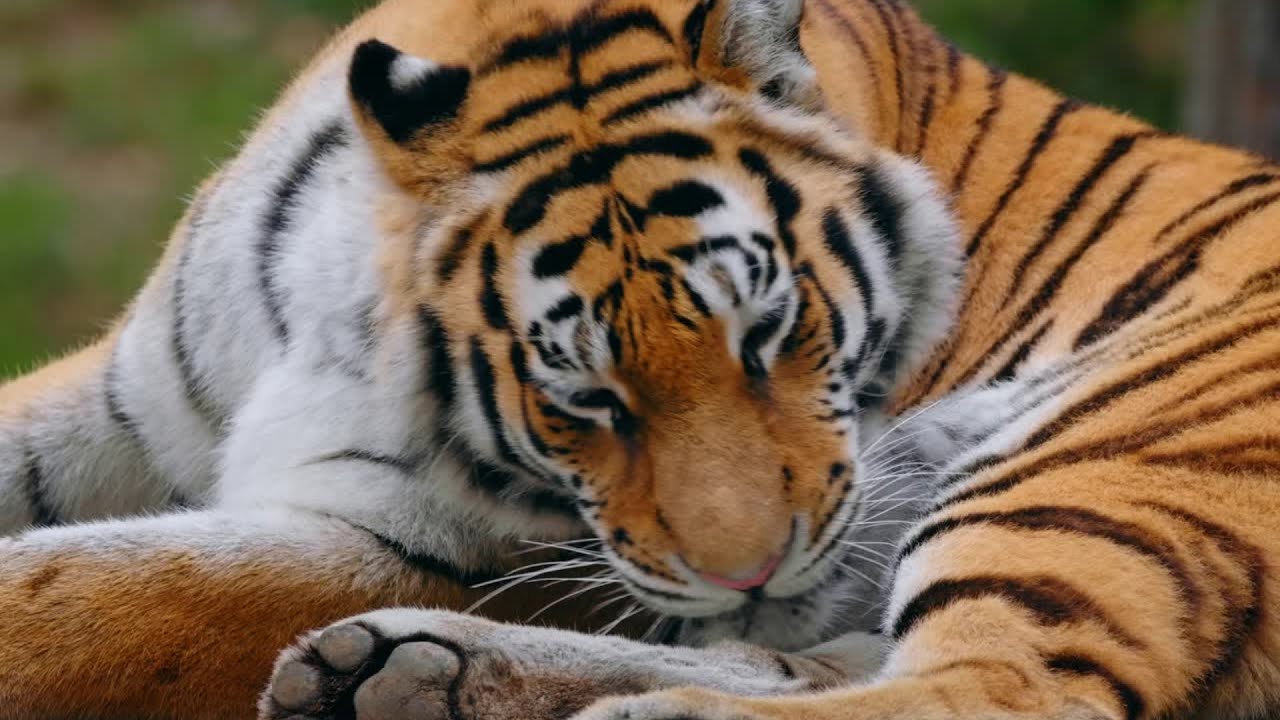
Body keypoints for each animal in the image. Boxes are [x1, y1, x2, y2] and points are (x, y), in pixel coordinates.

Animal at [2, 1, 1279, 720]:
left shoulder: (423, 542)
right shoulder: (119, 402)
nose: (750, 570)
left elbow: (87, 589)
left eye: (773, 333)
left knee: (999, 689)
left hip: (1099, 449)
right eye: (581, 398)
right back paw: (405, 678)